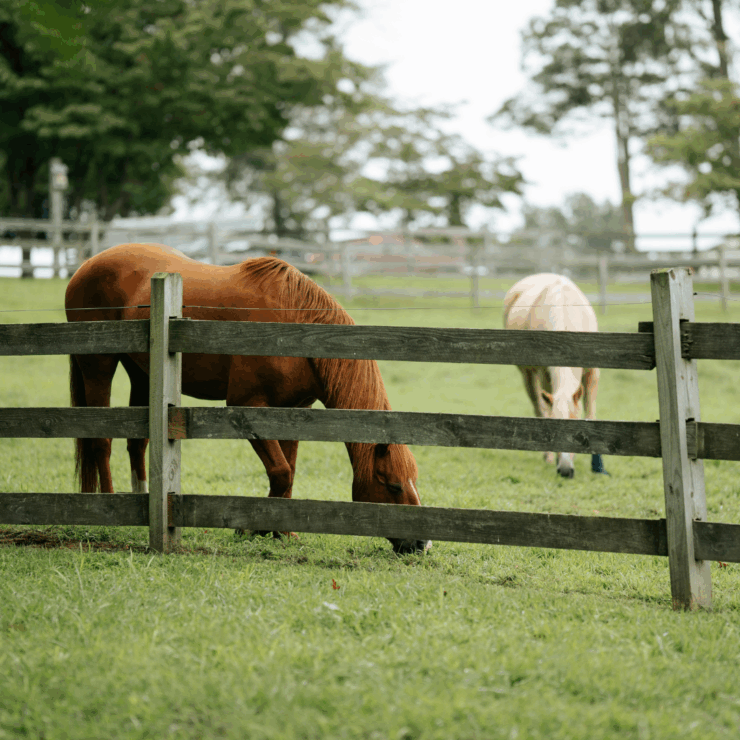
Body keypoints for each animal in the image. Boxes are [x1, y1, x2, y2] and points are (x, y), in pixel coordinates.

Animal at [65, 243, 430, 553]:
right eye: (393, 485)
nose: (422, 544)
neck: (295, 327)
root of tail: (85, 266)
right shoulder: (247, 406)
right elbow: (281, 472)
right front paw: (255, 528)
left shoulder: (291, 411)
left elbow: (288, 472)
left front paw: (281, 531)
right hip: (98, 366)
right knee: (100, 441)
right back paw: (108, 504)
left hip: (141, 373)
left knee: (136, 442)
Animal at [503, 273, 607, 478]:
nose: (565, 470)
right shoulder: (545, 375)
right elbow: (546, 411)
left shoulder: (593, 373)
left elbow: (591, 414)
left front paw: (598, 466)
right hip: (528, 374)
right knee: (539, 408)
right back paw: (547, 456)